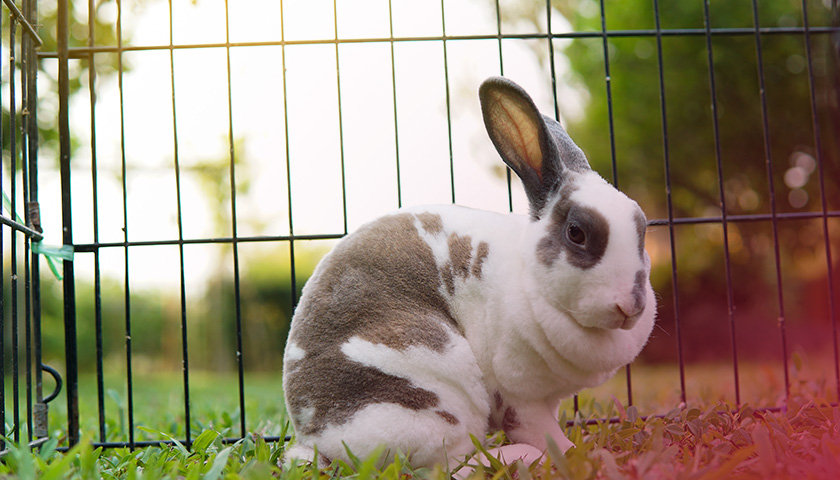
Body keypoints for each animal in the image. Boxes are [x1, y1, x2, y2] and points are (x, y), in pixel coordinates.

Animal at [282, 76, 656, 470]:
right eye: (577, 233)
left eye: (643, 226)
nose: (631, 306)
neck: (530, 280)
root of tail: (316, 441)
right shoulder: (519, 395)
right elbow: (543, 433)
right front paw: (583, 457)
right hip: (437, 392)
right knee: (450, 463)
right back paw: (517, 457)